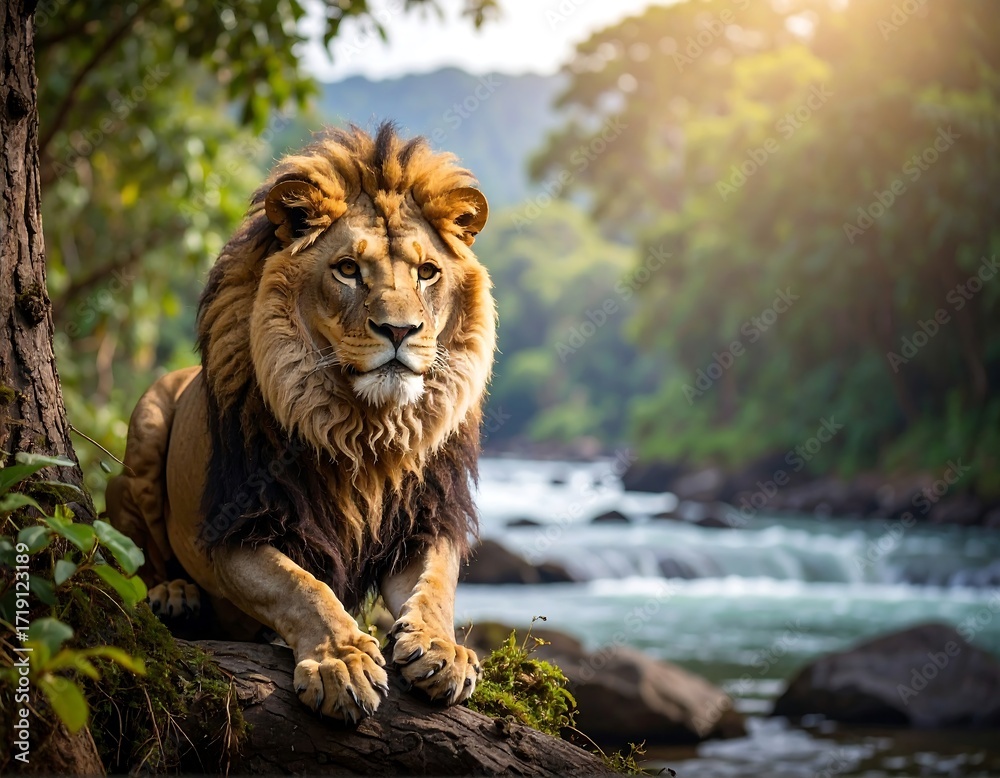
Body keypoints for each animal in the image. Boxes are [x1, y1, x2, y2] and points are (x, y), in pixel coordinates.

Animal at [106, 123, 496, 722]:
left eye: (427, 273)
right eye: (348, 269)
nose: (400, 330)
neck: (366, 432)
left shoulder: (426, 519)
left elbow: (436, 585)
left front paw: (442, 648)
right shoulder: (238, 527)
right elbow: (302, 587)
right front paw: (342, 662)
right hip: (145, 427)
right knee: (140, 557)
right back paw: (175, 596)